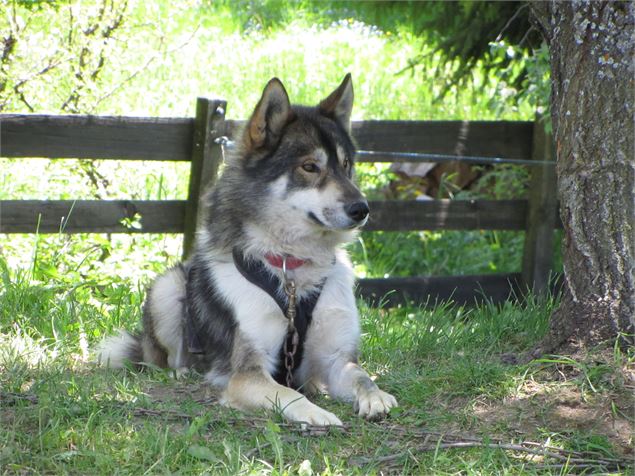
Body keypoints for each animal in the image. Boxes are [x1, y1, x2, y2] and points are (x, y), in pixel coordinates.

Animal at [97, 76, 398, 426]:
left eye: (347, 165)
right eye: (310, 166)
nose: (362, 209)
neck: (293, 268)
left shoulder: (337, 360)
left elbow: (362, 376)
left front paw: (375, 398)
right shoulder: (247, 373)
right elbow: (288, 394)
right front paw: (318, 414)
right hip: (167, 288)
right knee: (164, 358)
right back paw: (184, 371)